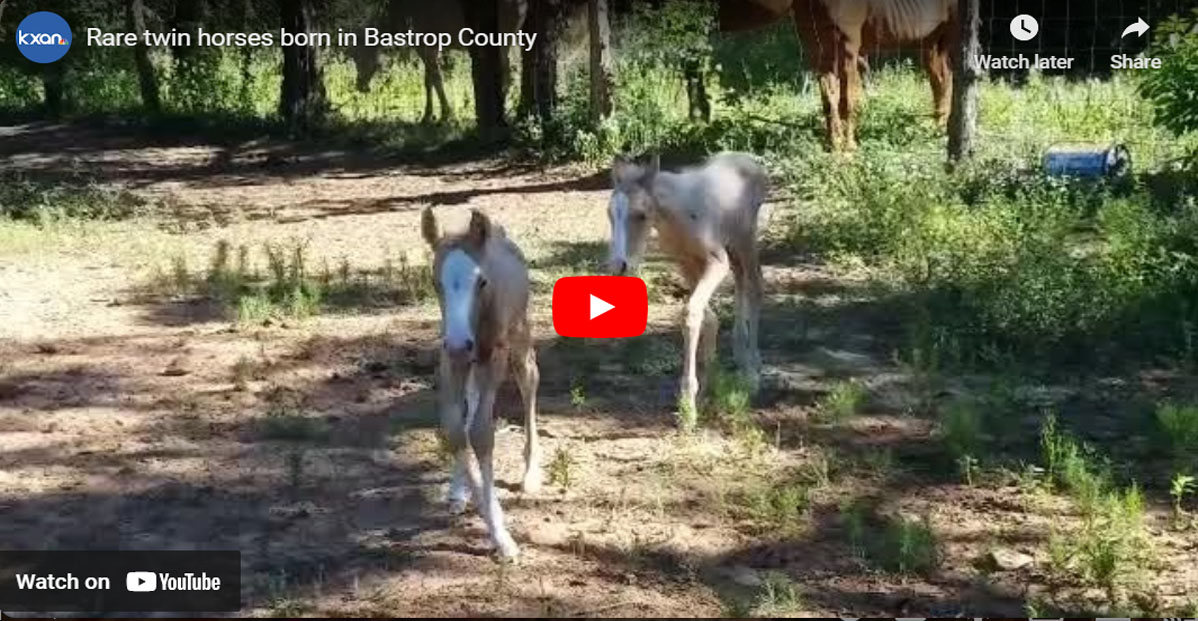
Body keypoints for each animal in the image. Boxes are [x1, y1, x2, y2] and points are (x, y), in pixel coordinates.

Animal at [714, 0, 958, 151]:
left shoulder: (848, 52)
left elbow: (847, 102)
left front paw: (849, 147)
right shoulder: (820, 55)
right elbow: (828, 101)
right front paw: (833, 144)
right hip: (929, 43)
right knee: (941, 80)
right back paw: (937, 126)